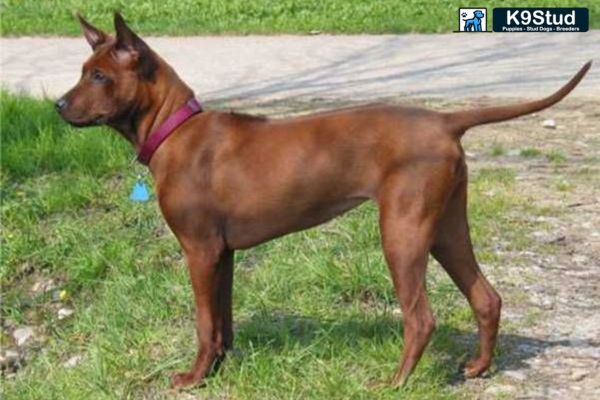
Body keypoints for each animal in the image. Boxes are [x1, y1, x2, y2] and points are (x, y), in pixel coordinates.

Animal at [56, 14, 592, 390]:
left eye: (99, 76)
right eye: (82, 72)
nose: (58, 105)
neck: (175, 130)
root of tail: (443, 120)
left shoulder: (200, 251)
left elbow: (205, 323)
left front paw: (193, 378)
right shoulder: (222, 254)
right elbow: (223, 322)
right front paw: (219, 369)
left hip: (402, 233)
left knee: (421, 317)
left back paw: (396, 382)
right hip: (445, 228)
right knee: (486, 297)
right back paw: (479, 366)